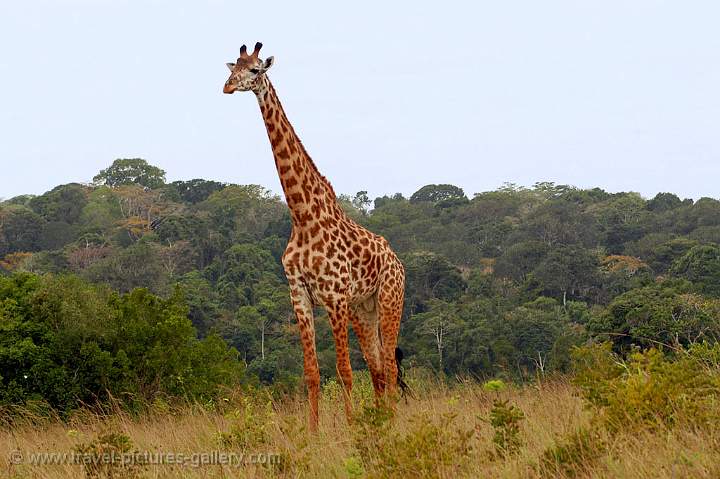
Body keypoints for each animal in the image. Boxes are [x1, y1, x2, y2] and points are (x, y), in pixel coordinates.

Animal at [222, 42, 404, 432]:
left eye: (255, 70)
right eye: (232, 67)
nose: (227, 87)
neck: (303, 216)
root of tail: (397, 260)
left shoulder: (334, 297)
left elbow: (344, 370)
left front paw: (350, 429)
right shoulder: (300, 297)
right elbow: (312, 373)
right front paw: (315, 432)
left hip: (388, 299)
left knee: (390, 365)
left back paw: (393, 424)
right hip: (362, 309)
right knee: (379, 368)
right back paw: (381, 422)